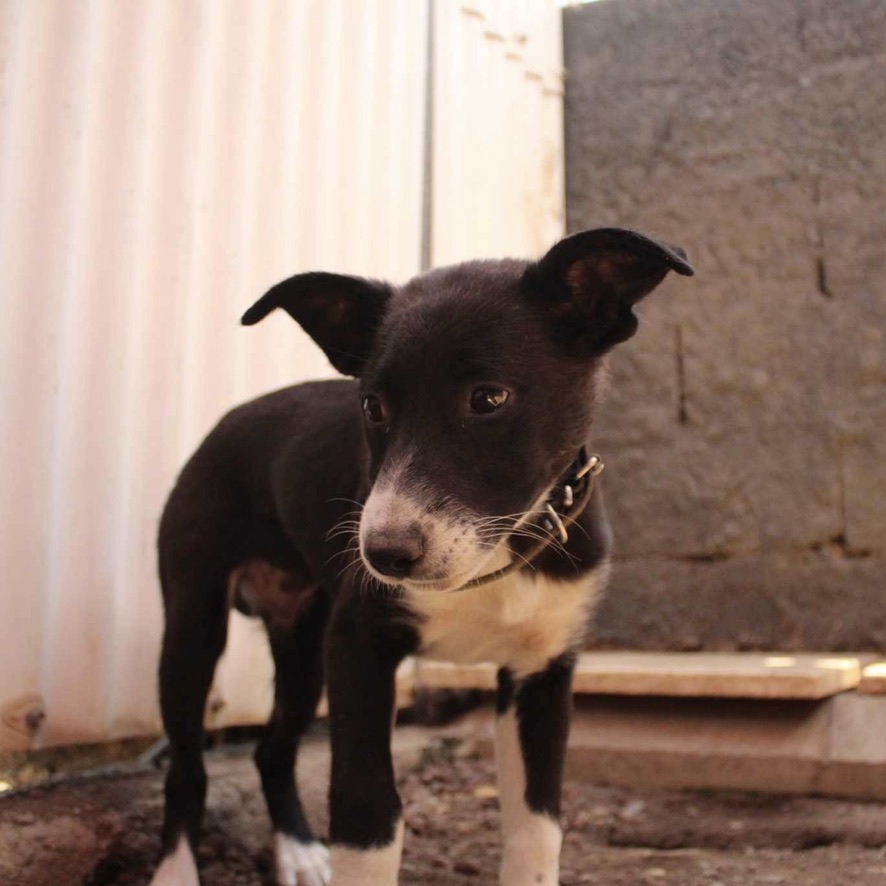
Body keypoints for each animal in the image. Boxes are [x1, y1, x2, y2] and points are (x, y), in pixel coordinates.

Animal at [151, 231, 692, 886]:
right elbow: (369, 813)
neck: (498, 554)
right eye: (372, 407)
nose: (383, 556)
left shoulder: (542, 669)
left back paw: (300, 852)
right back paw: (177, 871)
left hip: (305, 648)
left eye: (488, 398)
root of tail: (224, 423)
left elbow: (537, 824)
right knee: (186, 769)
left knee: (271, 749)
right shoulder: (359, 647)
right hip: (193, 624)